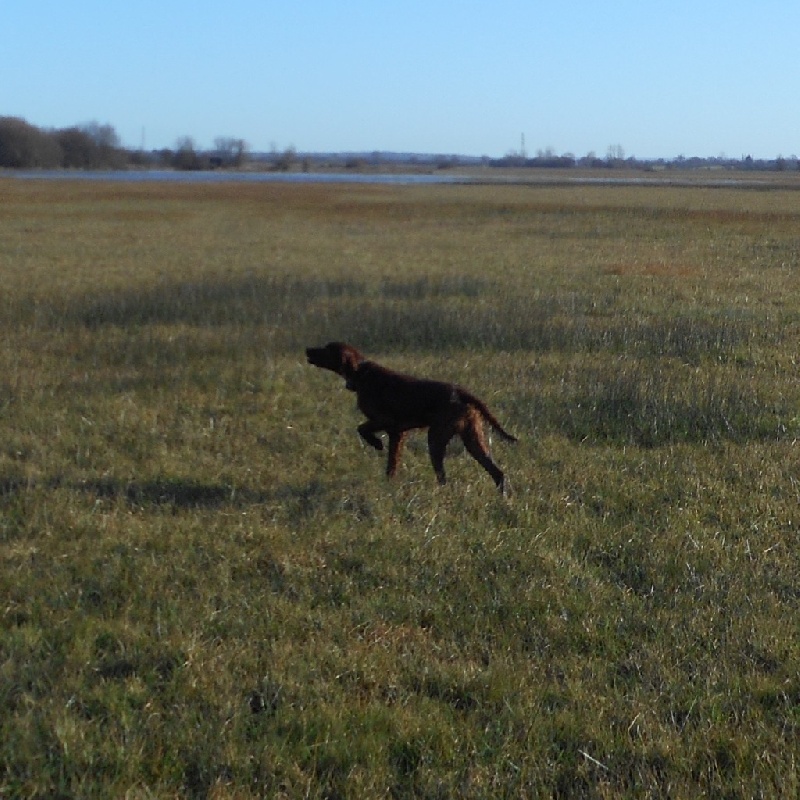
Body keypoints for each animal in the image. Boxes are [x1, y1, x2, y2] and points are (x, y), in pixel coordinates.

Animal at [306, 340, 520, 490]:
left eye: (327, 348)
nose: (307, 350)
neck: (361, 374)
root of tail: (461, 392)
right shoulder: (397, 433)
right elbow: (391, 465)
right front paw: (389, 486)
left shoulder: (385, 421)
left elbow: (361, 428)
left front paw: (376, 443)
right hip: (473, 439)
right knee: (498, 473)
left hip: (436, 438)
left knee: (443, 476)